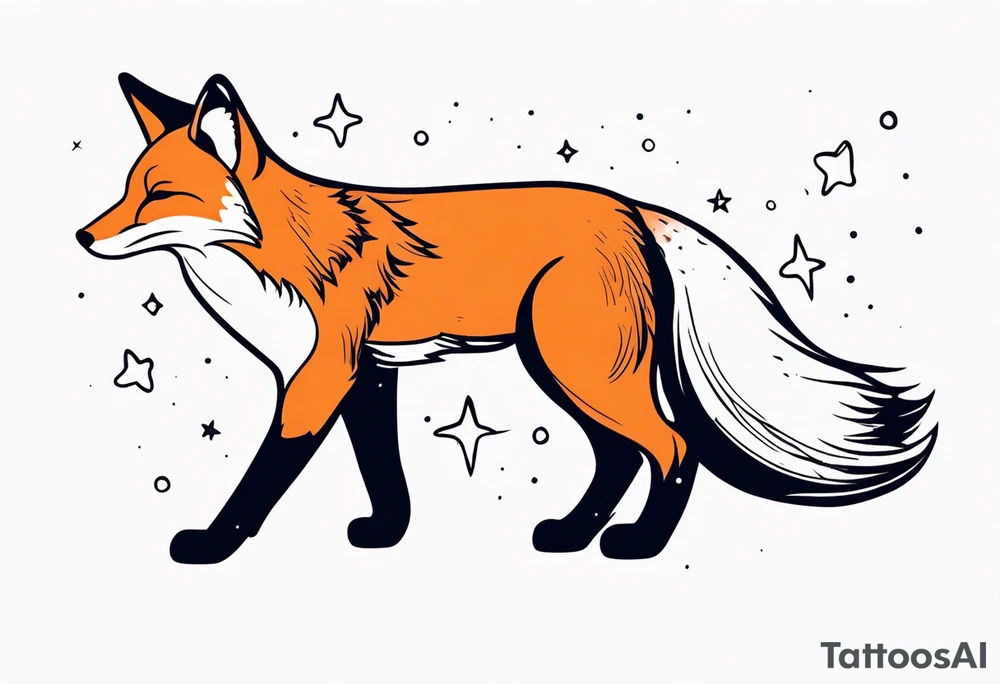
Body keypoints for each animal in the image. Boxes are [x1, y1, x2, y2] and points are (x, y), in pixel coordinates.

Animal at [77, 74, 938, 564]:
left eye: (160, 194)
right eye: (126, 188)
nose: (83, 237)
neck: (274, 257)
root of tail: (632, 209)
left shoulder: (320, 376)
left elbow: (262, 478)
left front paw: (211, 544)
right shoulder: (370, 373)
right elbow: (383, 468)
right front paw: (387, 533)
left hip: (575, 366)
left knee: (671, 445)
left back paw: (638, 546)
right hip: (566, 367)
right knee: (620, 455)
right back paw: (571, 534)